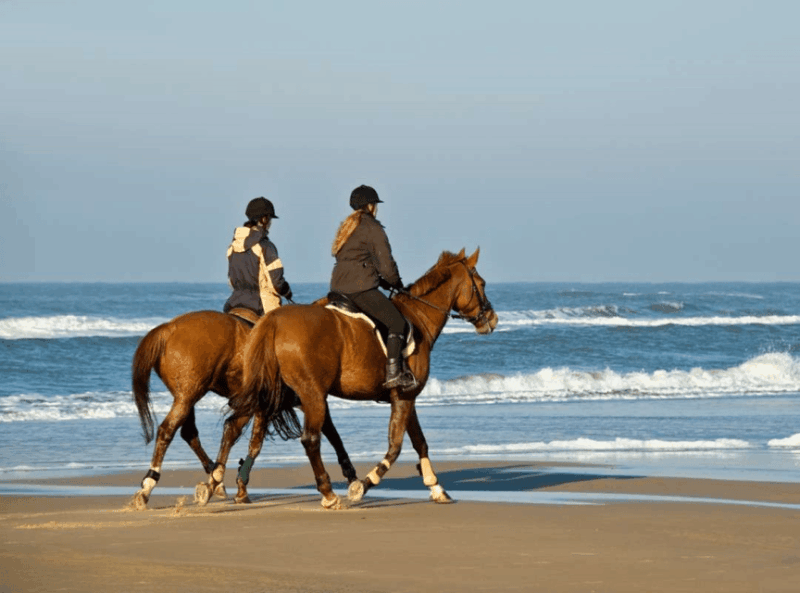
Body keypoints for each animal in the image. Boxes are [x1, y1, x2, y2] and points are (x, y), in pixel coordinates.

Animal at [131, 310, 358, 510]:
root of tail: (168, 329)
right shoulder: (305, 399)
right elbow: (257, 443)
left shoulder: (279, 404)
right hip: (188, 395)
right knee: (167, 430)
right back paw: (148, 486)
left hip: (186, 397)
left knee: (188, 433)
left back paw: (213, 478)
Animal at [225, 248, 497, 508]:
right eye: (482, 284)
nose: (492, 319)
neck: (418, 316)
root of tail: (274, 320)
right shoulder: (405, 397)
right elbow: (395, 447)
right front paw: (364, 485)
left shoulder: (406, 398)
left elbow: (420, 442)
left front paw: (436, 488)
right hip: (311, 395)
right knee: (310, 439)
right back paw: (328, 494)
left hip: (279, 393)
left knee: (250, 431)